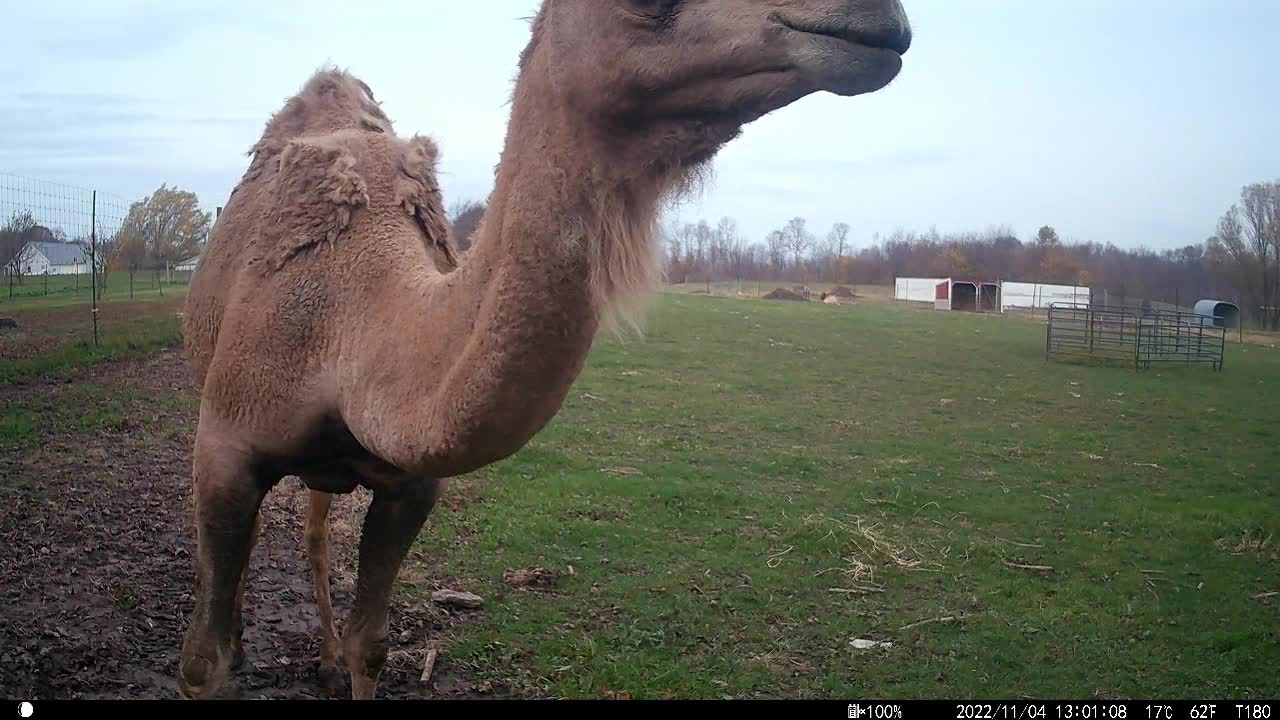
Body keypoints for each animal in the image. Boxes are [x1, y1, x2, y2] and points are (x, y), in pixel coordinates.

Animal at [178, 0, 911, 700]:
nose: (883, 22)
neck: (353, 329)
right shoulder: (225, 450)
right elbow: (200, 663)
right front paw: (224, 646)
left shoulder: (410, 487)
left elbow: (373, 647)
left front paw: (344, 658)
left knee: (314, 534)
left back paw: (323, 659)